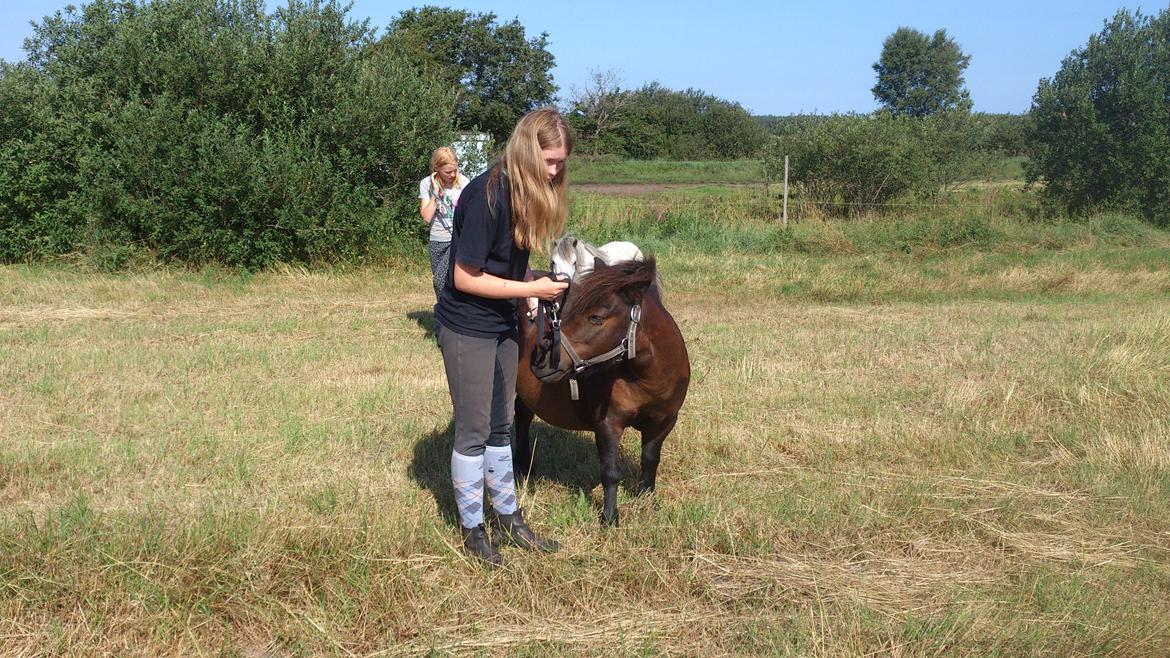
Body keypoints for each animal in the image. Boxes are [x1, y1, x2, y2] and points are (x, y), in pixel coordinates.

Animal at [517, 255, 687, 522]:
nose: (541, 362)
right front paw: (609, 517)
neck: (647, 380)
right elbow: (610, 471)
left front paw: (648, 501)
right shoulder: (607, 424)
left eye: (596, 317)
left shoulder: (664, 423)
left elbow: (650, 461)